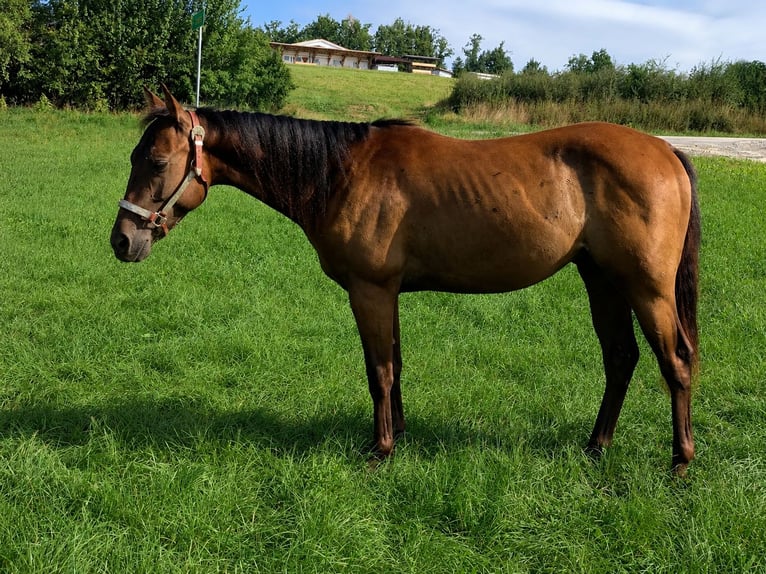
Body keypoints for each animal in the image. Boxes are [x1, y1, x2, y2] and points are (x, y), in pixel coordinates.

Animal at [111, 86, 700, 475]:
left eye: (157, 161)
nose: (121, 241)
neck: (341, 173)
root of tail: (665, 149)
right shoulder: (388, 293)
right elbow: (395, 366)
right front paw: (400, 435)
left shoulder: (370, 291)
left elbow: (378, 372)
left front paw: (380, 451)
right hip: (602, 280)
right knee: (621, 358)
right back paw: (596, 447)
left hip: (646, 289)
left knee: (675, 363)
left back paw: (679, 462)